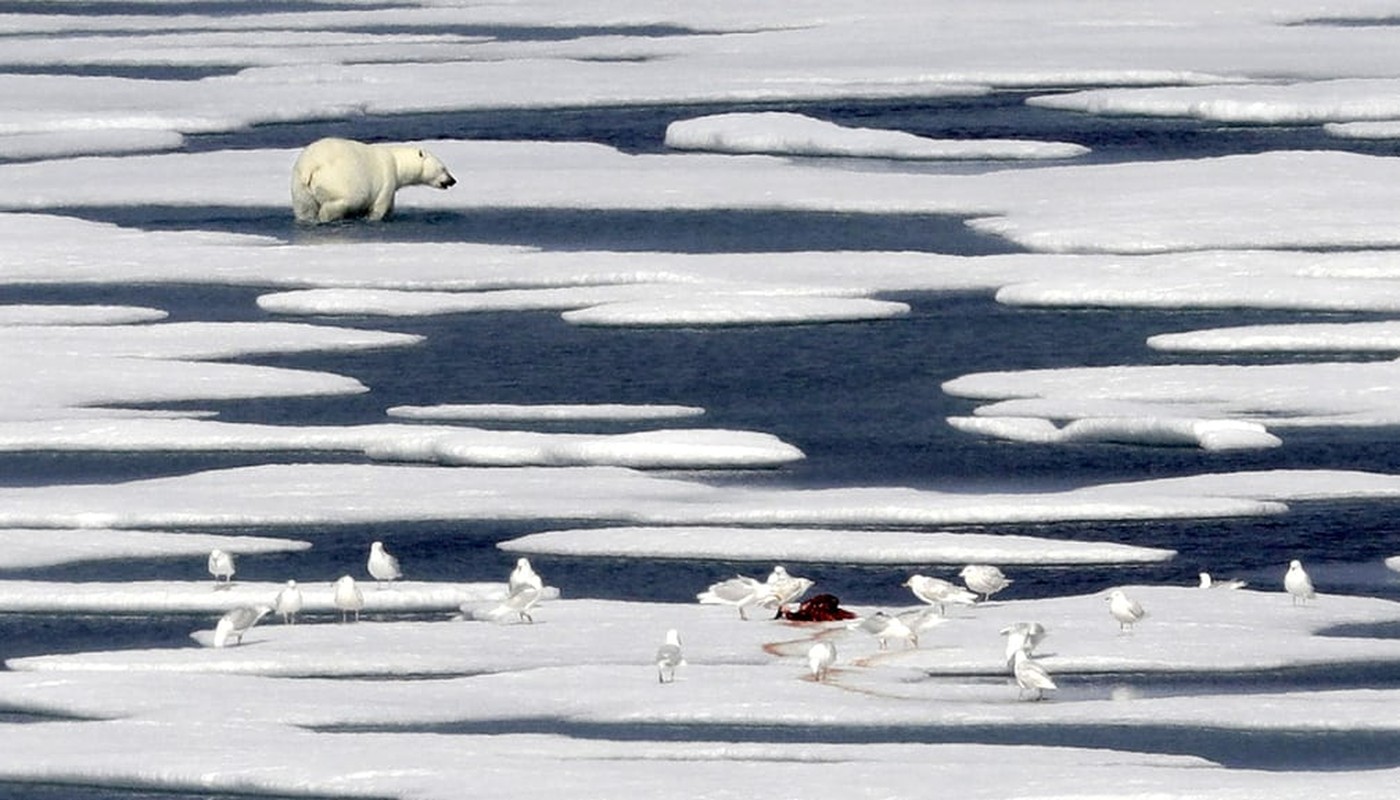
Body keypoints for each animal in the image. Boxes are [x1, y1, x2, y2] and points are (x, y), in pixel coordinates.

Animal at [288, 138, 453, 224]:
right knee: (340, 202)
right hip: (337, 182)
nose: (452, 180)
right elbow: (380, 207)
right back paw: (327, 217)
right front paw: (372, 218)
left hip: (300, 188)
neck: (396, 162)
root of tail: (311, 166)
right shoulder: (387, 180)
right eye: (443, 168)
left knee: (305, 209)